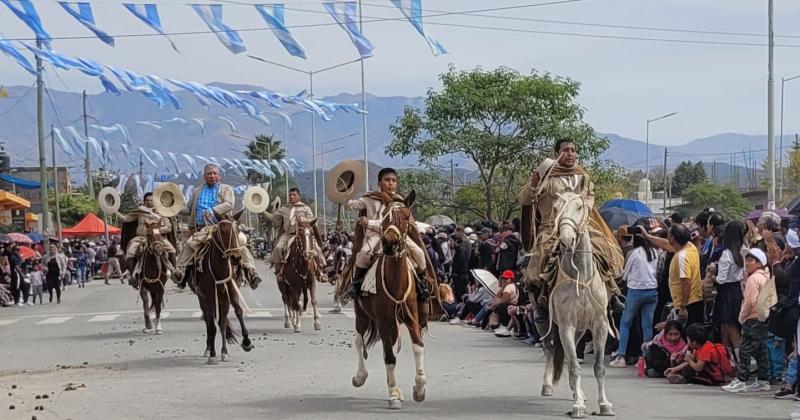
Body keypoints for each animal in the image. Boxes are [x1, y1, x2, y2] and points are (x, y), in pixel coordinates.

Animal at [193, 210, 253, 364]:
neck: (220, 268)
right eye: (223, 231)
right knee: (209, 321)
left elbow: (237, 312)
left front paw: (246, 342)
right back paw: (209, 349)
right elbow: (212, 325)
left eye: (237, 230)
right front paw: (213, 354)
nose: (236, 257)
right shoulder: (209, 295)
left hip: (221, 299)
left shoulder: (230, 291)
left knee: (221, 322)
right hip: (202, 298)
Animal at [350, 194, 424, 410]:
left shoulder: (411, 317)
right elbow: (390, 358)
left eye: (407, 217)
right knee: (359, 341)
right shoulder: (383, 321)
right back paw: (360, 377)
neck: (396, 282)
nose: (390, 244)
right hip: (362, 315)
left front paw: (419, 389)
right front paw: (393, 396)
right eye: (384, 218)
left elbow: (418, 346)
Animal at [540, 192, 616, 418]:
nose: (566, 239)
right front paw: (578, 406)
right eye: (555, 208)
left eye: (580, 207)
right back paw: (549, 386)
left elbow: (599, 367)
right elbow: (574, 366)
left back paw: (578, 393)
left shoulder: (599, 324)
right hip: (546, 323)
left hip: (581, 330)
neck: (580, 277)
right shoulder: (566, 325)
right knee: (550, 350)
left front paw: (604, 404)